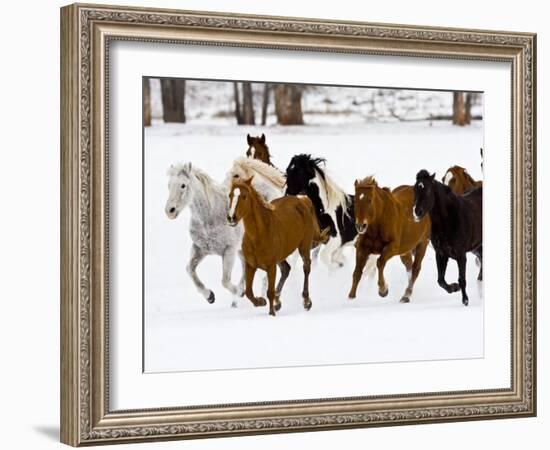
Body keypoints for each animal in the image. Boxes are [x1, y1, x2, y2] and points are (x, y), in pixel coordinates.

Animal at [165, 162, 245, 306]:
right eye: (169, 185)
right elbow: (189, 269)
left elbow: (225, 281)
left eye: (183, 185)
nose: (170, 211)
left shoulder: (229, 250)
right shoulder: (200, 249)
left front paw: (239, 293)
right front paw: (209, 296)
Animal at [227, 178, 328, 314]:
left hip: (304, 246)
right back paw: (278, 301)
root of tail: (303, 200)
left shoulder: (271, 267)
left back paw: (306, 301)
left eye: (244, 196)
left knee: (306, 267)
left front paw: (271, 313)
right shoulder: (250, 265)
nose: (231, 217)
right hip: (281, 256)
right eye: (230, 195)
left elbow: (269, 292)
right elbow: (248, 292)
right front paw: (261, 301)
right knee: (286, 269)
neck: (259, 235)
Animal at [414, 171, 484, 308]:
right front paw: (454, 288)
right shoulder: (441, 254)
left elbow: (462, 279)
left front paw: (465, 301)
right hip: (477, 248)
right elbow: (440, 280)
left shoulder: (461, 256)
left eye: (428, 190)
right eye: (415, 190)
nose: (417, 212)